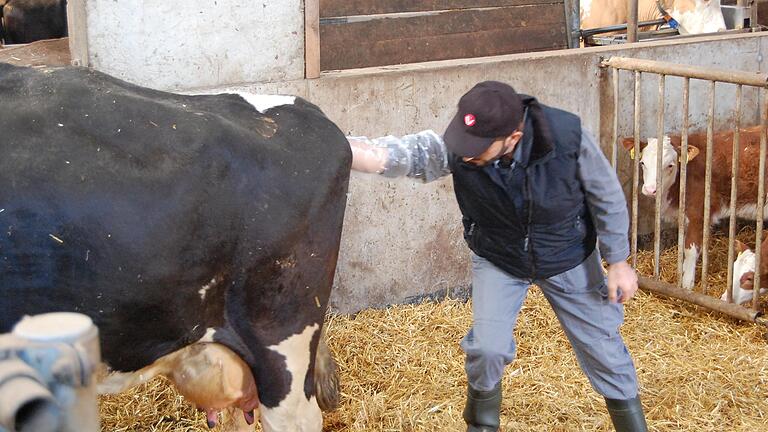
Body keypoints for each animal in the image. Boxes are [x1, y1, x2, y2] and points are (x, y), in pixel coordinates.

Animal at [624, 126, 768, 292]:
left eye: (670, 165)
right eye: (642, 163)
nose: (650, 190)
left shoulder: (698, 213)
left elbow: (690, 250)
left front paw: (686, 285)